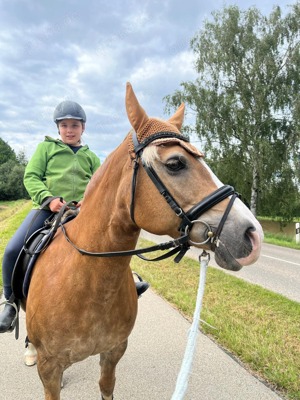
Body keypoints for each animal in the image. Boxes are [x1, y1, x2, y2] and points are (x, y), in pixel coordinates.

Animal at [24, 83, 262, 398]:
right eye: (175, 163)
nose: (252, 234)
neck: (88, 284)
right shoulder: (49, 369)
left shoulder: (113, 352)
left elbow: (106, 387)